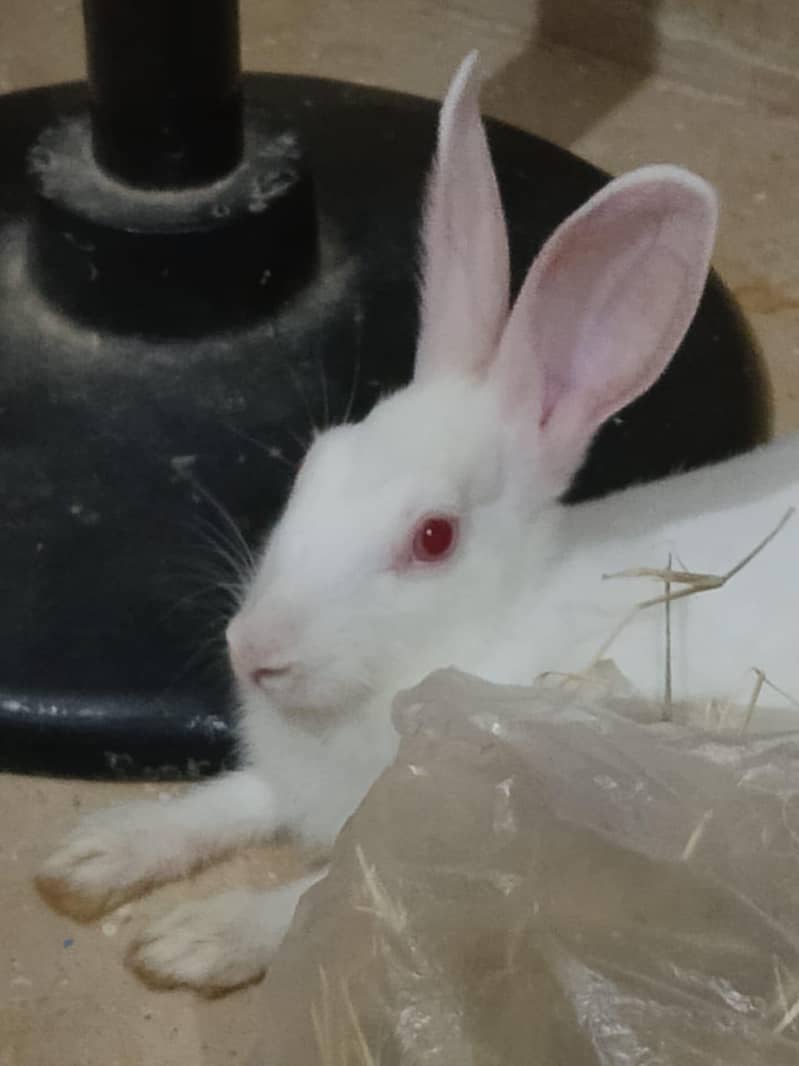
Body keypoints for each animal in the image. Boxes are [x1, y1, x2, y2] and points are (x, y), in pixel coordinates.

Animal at [38, 50, 799, 994]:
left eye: (433, 539)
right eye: (316, 462)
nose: (254, 653)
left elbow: (309, 899)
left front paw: (193, 938)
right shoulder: (284, 781)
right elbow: (231, 798)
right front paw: (94, 855)